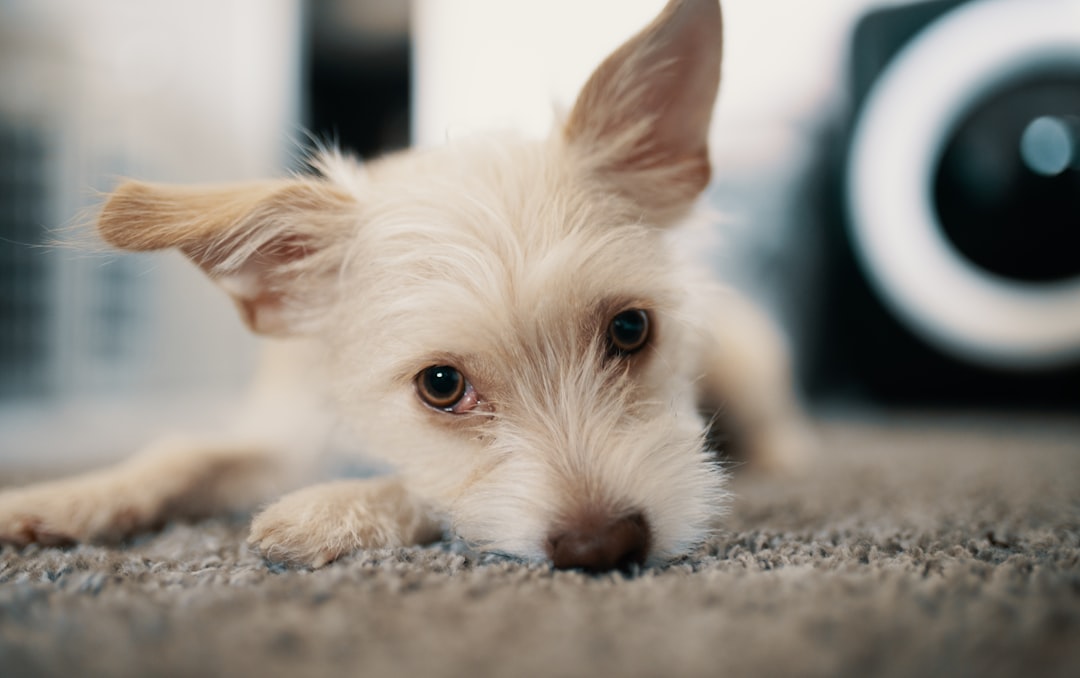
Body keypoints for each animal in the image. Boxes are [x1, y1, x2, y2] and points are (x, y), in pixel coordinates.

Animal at [0, 0, 807, 570]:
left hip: (744, 358)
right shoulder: (284, 435)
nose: (605, 548)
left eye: (631, 329)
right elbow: (179, 454)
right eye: (441, 386)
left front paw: (324, 511)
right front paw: (62, 497)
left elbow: (422, 485)